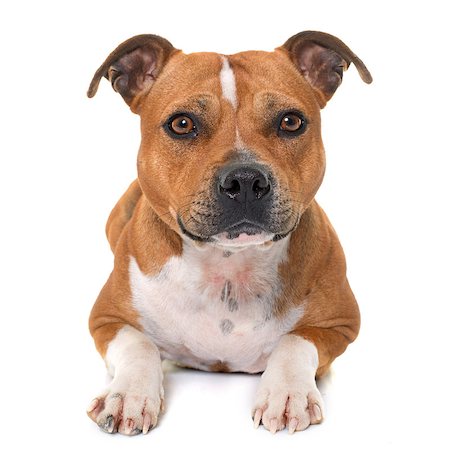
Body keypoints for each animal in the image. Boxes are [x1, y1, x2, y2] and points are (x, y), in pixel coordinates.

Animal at [86, 29, 370, 434]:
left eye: (291, 122)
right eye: (182, 124)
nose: (246, 180)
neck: (229, 268)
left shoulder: (341, 324)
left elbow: (296, 340)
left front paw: (287, 393)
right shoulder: (106, 320)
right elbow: (139, 344)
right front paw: (128, 396)